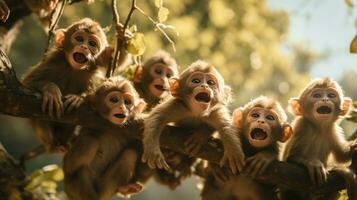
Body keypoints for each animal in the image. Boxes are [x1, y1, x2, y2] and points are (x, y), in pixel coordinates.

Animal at [21, 18, 110, 153]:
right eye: (79, 38)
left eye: (92, 44)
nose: (84, 46)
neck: (73, 69)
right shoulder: (54, 61)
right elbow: (27, 82)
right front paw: (51, 90)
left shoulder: (93, 75)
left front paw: (79, 98)